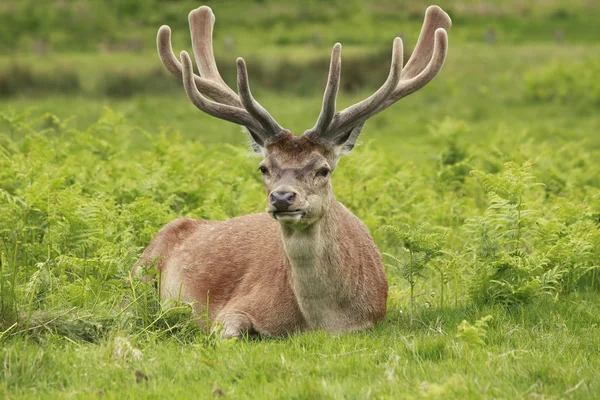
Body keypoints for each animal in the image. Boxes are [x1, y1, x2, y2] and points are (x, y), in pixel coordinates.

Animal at [132, 5, 450, 338]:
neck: (325, 321)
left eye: (323, 170)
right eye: (264, 167)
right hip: (140, 273)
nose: (282, 198)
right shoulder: (234, 307)